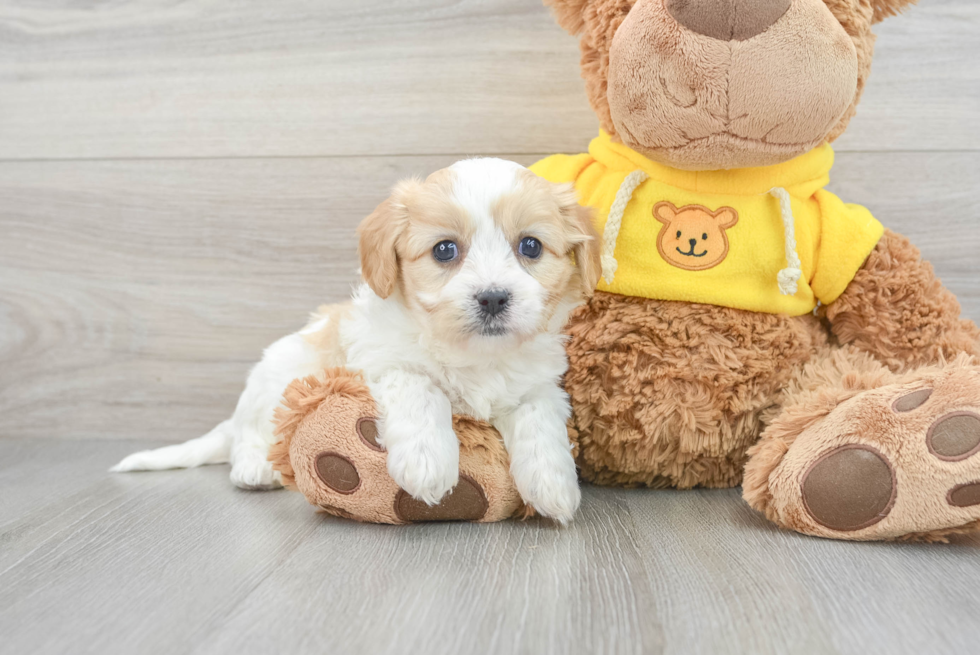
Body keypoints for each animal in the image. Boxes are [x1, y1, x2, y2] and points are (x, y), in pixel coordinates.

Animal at [116, 158, 604, 524]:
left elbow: (540, 418)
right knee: (252, 433)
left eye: (531, 246)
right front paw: (428, 463)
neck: (474, 357)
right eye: (445, 250)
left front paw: (554, 485)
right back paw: (256, 467)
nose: (493, 297)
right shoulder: (381, 361)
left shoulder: (539, 383)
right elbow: (419, 385)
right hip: (277, 373)